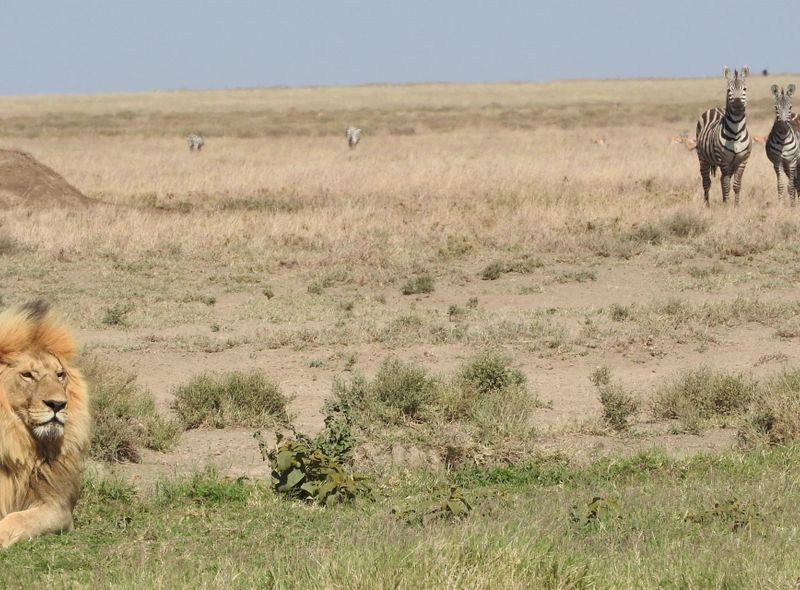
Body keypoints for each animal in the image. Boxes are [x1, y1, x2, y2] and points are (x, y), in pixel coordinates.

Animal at [695, 66, 752, 206]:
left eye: (744, 89)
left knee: (721, 179)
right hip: (702, 158)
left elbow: (736, 184)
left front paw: (736, 205)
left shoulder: (742, 160)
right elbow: (726, 184)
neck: (736, 133)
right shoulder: (723, 160)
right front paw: (726, 206)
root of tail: (714, 108)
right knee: (706, 182)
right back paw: (707, 205)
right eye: (728, 90)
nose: (737, 105)